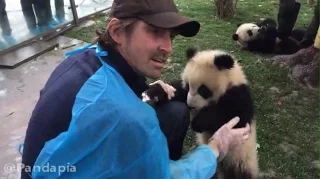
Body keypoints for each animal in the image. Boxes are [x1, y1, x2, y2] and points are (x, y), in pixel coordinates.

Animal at [142, 47, 260, 179]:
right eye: (188, 86)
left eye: (203, 90)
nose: (190, 105)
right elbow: (177, 90)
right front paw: (155, 92)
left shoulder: (239, 95)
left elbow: (233, 117)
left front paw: (198, 122)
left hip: (240, 158)